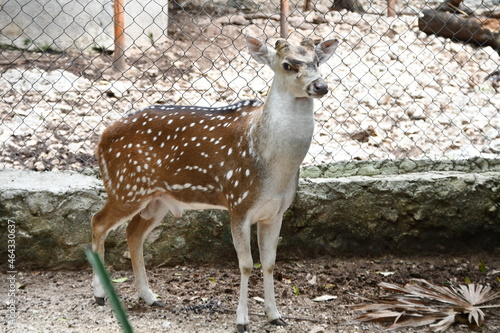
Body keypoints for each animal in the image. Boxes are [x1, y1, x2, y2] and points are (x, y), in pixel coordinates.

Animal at [91, 35, 338, 330]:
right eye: (288, 64)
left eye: (317, 61)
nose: (320, 86)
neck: (273, 169)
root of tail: (102, 137)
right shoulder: (238, 202)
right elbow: (246, 264)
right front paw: (242, 321)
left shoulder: (276, 212)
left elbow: (269, 263)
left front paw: (275, 316)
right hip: (125, 187)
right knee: (98, 222)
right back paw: (99, 296)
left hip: (156, 199)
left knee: (133, 233)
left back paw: (150, 297)